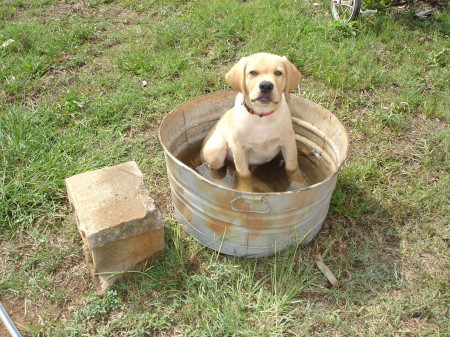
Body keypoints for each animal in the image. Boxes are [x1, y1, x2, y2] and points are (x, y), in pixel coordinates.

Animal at [201, 52, 302, 182]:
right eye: (253, 73)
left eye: (278, 73)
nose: (266, 86)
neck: (262, 117)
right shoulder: (240, 149)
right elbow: (244, 175)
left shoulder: (288, 142)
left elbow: (292, 168)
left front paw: (298, 181)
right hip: (215, 149)